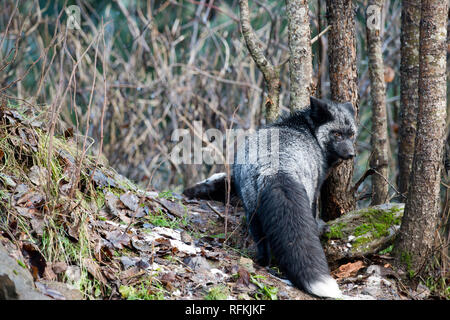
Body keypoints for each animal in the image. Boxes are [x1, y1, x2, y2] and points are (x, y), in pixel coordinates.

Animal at [234, 97, 356, 298]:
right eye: (337, 134)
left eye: (351, 134)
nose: (351, 154)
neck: (307, 130)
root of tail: (274, 168)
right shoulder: (315, 191)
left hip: (252, 212)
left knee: (262, 242)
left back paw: (263, 263)